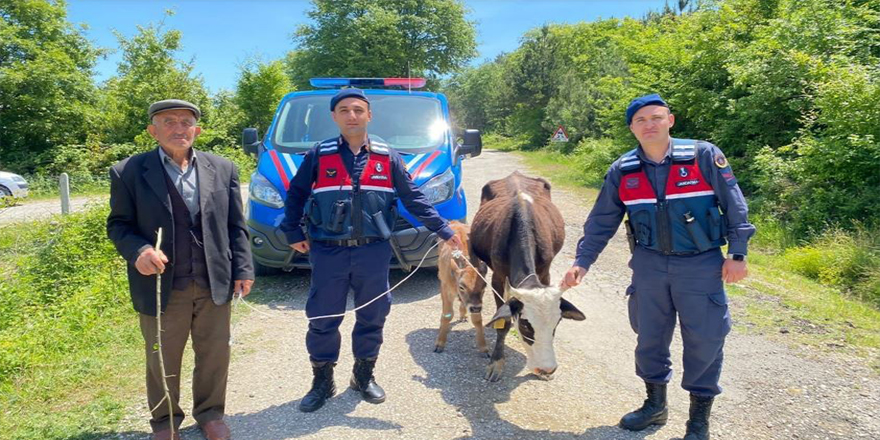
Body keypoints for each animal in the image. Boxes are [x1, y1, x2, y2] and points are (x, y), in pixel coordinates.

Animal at [468, 172, 584, 382]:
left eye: (557, 323)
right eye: (525, 325)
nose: (547, 369)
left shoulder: (545, 272)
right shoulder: (498, 278)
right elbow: (503, 322)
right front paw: (496, 362)